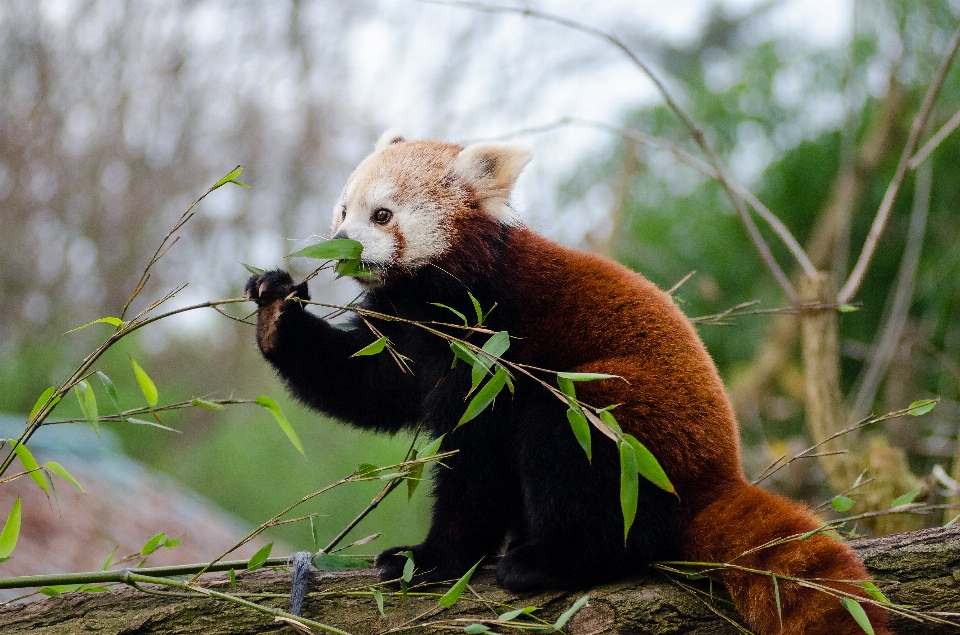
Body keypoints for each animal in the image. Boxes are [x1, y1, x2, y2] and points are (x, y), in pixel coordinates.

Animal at [246, 130, 892, 635]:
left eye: (381, 215)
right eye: (342, 213)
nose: (341, 246)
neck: (441, 298)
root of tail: (717, 479)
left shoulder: (494, 349)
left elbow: (476, 463)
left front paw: (431, 560)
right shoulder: (408, 338)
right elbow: (367, 384)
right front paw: (277, 310)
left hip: (621, 422)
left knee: (569, 449)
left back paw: (549, 559)